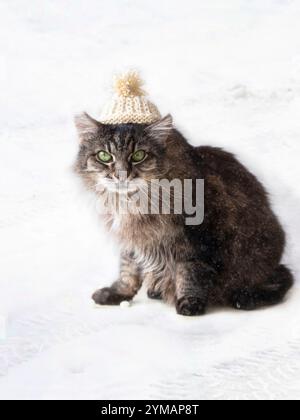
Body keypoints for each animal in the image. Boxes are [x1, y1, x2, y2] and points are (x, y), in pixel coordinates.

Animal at [74, 111, 292, 316]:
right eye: (104, 156)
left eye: (138, 155)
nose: (121, 175)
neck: (130, 202)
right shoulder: (131, 240)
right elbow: (128, 272)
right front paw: (119, 294)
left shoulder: (194, 239)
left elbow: (189, 273)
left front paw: (189, 304)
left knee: (281, 279)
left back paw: (246, 298)